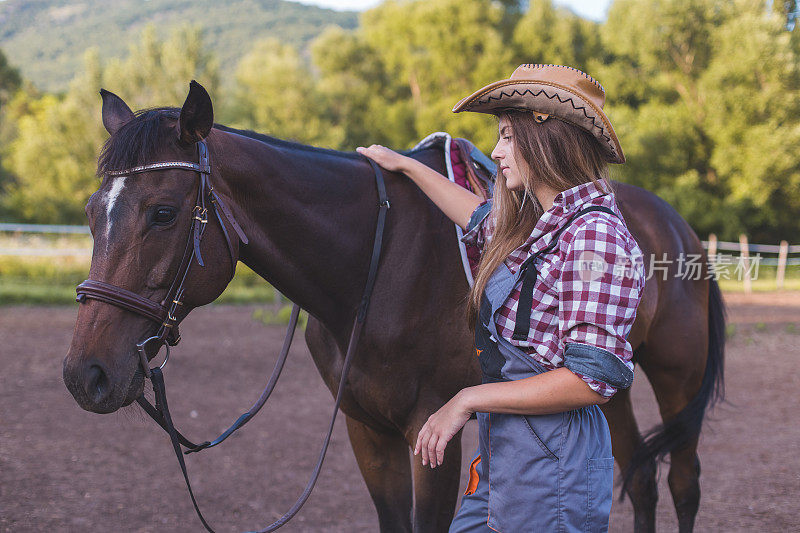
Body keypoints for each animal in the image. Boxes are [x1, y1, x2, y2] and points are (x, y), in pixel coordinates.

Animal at [64, 83, 724, 532]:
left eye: (163, 213)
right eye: (94, 213)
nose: (84, 375)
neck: (372, 270)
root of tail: (677, 226)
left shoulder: (434, 433)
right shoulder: (368, 431)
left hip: (675, 373)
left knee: (684, 480)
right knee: (639, 475)